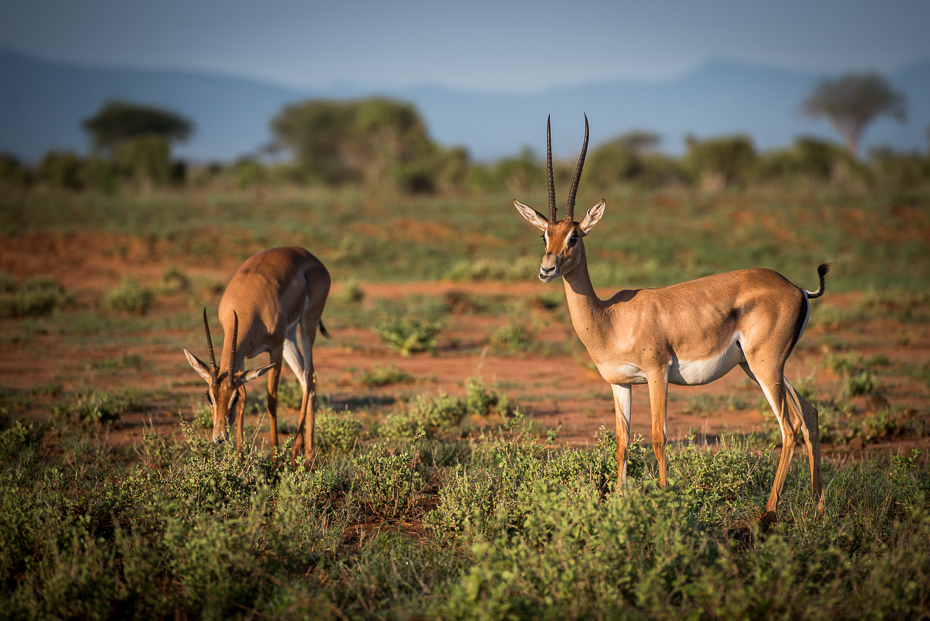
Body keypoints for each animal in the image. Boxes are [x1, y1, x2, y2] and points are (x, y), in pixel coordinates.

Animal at [183, 247, 332, 464]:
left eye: (232, 398)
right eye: (209, 396)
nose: (219, 437)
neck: (246, 304)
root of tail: (310, 256)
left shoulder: (275, 349)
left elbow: (271, 400)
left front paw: (275, 457)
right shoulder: (242, 358)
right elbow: (246, 398)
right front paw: (239, 456)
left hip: (306, 326)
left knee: (309, 376)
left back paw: (300, 452)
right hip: (289, 337)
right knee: (306, 379)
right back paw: (306, 453)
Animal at [516, 116, 828, 520]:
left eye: (574, 236)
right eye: (544, 236)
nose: (547, 269)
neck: (611, 319)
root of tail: (798, 288)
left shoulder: (656, 373)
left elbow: (659, 437)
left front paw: (665, 500)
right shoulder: (620, 383)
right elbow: (622, 441)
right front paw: (621, 503)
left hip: (765, 367)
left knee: (788, 427)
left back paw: (769, 513)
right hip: (759, 366)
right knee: (809, 415)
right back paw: (819, 508)